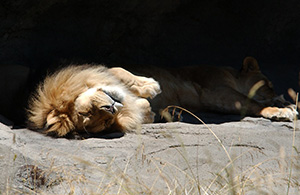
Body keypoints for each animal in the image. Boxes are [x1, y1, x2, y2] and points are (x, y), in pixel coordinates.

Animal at [27, 57, 298, 138]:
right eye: (96, 119)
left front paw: (150, 85)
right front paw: (280, 110)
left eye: (86, 112)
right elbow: (251, 102)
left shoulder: (106, 71)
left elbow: (120, 71)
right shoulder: (215, 91)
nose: (110, 108)